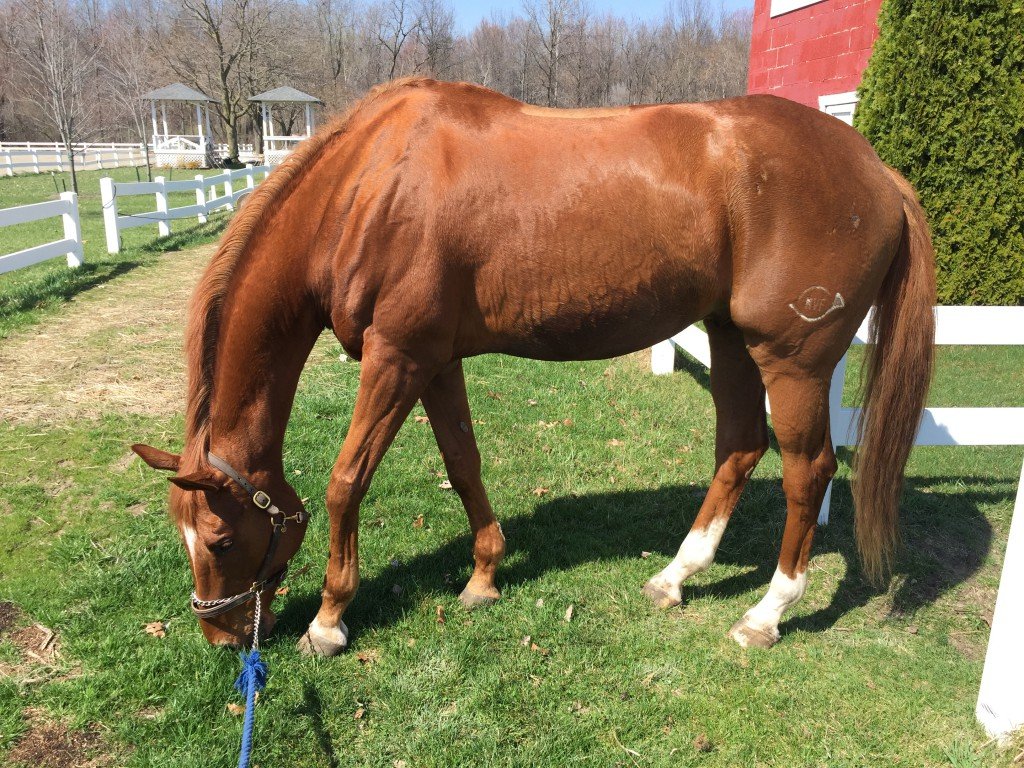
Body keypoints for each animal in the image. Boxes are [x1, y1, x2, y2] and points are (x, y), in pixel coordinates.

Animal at [134, 76, 937, 655]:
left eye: (220, 539)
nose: (220, 634)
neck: (369, 185)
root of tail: (877, 169)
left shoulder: (395, 360)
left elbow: (345, 482)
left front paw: (329, 621)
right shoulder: (434, 362)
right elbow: (463, 463)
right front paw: (486, 574)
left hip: (792, 361)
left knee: (808, 471)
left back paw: (766, 614)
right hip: (732, 338)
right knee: (739, 448)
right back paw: (675, 577)